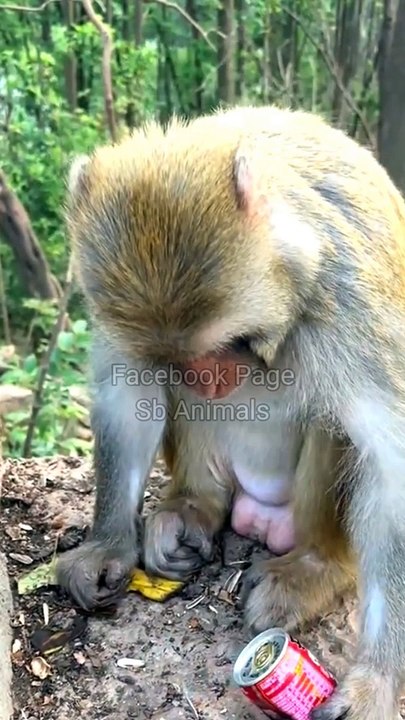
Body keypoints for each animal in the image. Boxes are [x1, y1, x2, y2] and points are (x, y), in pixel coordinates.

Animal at [56, 104, 405, 720]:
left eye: (232, 343)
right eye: (179, 357)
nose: (205, 379)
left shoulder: (351, 304)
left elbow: (390, 467)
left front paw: (378, 678)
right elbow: (129, 392)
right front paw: (106, 545)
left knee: (335, 423)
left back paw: (315, 568)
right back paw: (192, 510)